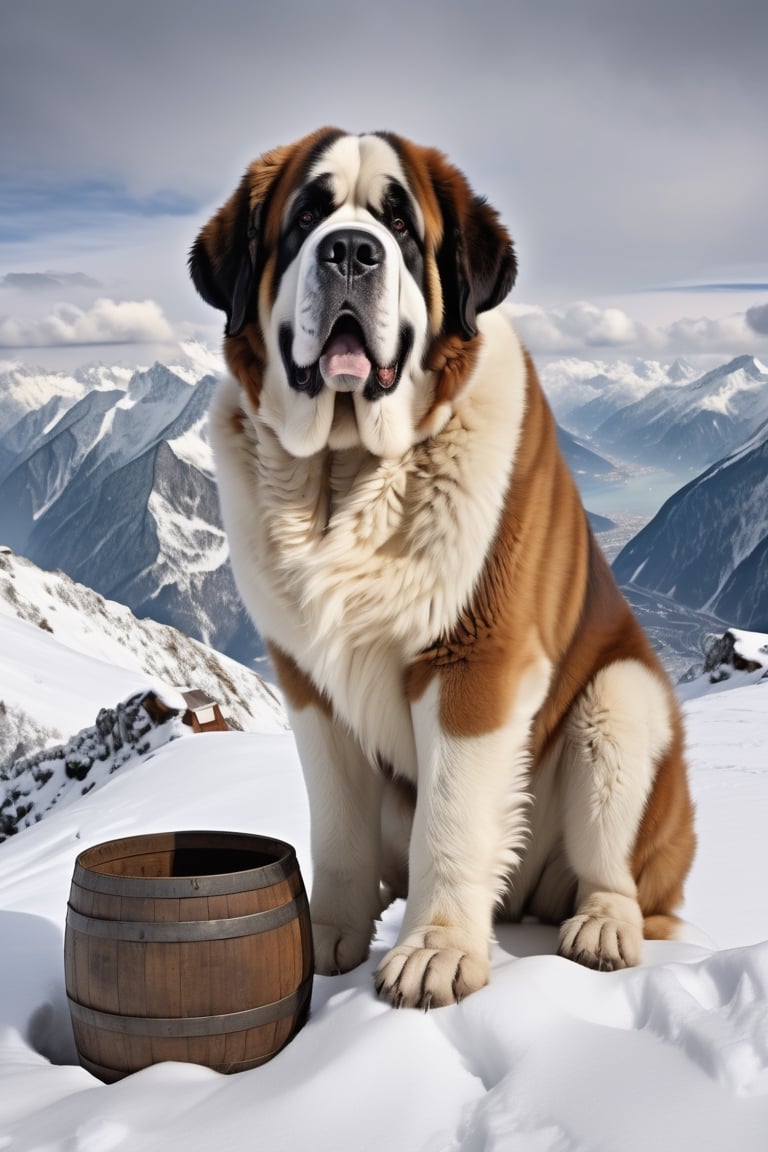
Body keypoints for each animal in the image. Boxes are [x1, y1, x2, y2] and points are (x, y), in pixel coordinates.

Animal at [191, 128, 695, 1009]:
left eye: (400, 224)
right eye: (306, 217)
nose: (351, 251)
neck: (345, 471)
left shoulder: (476, 662)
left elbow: (453, 817)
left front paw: (435, 951)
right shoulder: (306, 683)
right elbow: (337, 822)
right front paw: (327, 936)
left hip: (621, 703)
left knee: (623, 875)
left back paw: (602, 927)